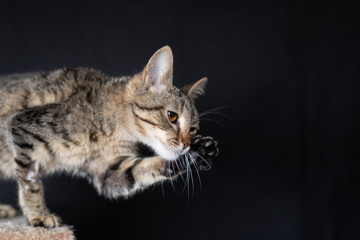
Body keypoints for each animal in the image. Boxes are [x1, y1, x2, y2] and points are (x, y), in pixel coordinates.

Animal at [0, 46, 218, 228]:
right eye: (172, 116)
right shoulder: (22, 126)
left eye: (193, 129)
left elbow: (139, 171)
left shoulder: (108, 168)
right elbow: (30, 183)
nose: (186, 144)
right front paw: (38, 214)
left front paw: (198, 153)